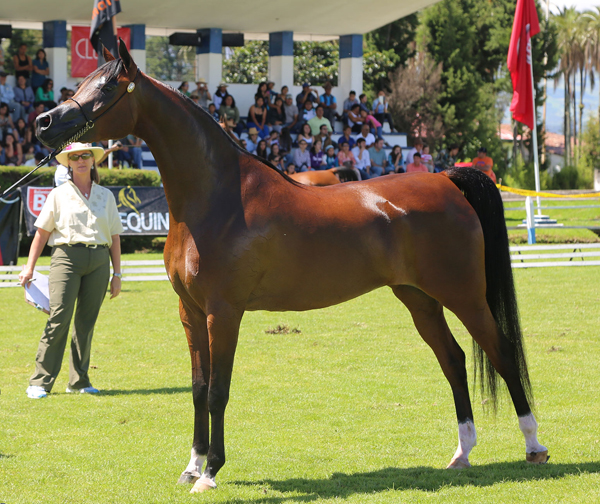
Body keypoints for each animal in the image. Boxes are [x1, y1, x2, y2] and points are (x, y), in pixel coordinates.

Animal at [32, 43, 548, 492]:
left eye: (105, 87)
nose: (43, 121)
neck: (216, 196)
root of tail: (445, 178)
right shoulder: (190, 313)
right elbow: (197, 388)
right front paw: (191, 465)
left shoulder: (224, 312)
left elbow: (218, 390)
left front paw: (210, 472)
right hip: (419, 299)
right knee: (454, 360)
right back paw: (462, 453)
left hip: (464, 296)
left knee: (501, 352)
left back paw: (534, 446)